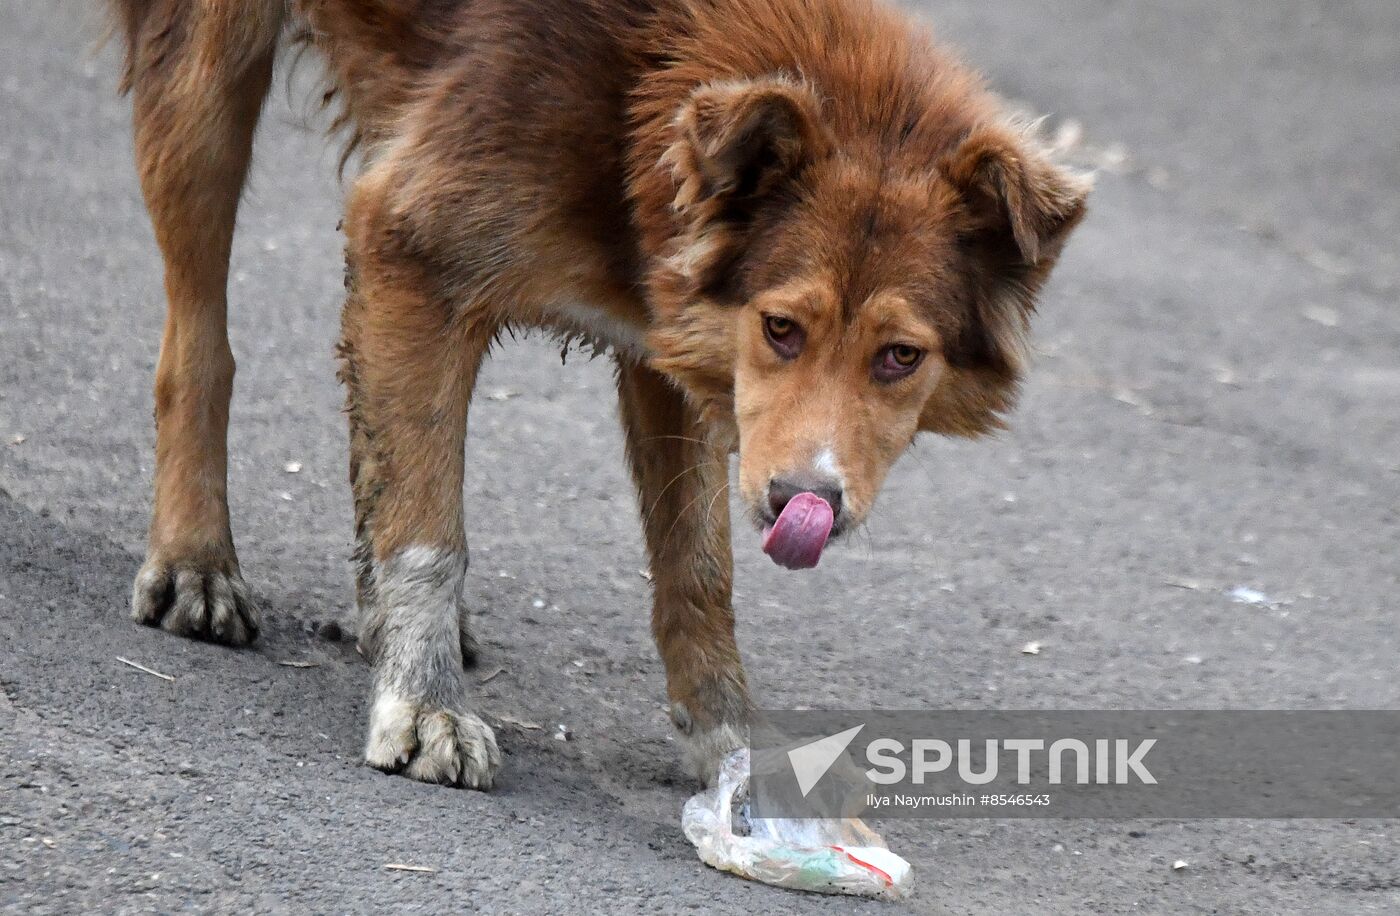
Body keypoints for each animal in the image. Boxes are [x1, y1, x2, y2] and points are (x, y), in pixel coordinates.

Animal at [109, 0, 1092, 789]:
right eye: (782, 328)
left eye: (899, 356)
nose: (801, 503)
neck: (648, 73)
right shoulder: (411, 241)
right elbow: (430, 535)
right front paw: (423, 706)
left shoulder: (675, 341)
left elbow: (697, 570)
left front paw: (732, 741)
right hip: (206, 82)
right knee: (198, 345)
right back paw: (197, 561)